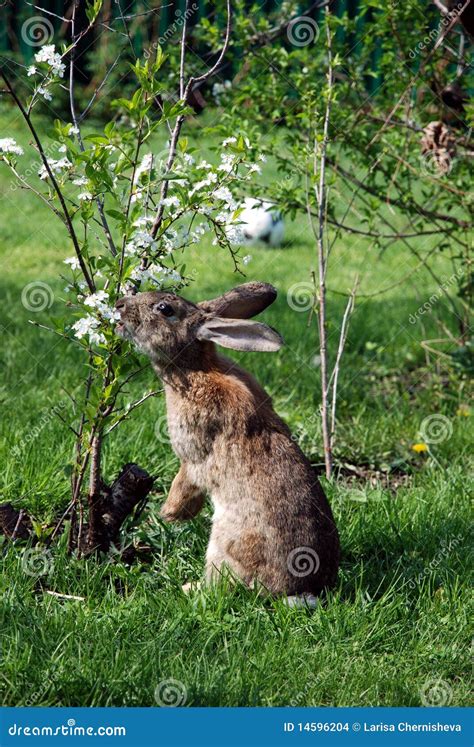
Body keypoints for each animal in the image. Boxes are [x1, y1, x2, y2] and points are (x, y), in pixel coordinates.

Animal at [116, 284, 342, 604]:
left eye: (164, 309)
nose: (119, 304)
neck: (197, 368)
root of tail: (300, 593)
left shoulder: (193, 457)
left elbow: (185, 483)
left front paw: (169, 514)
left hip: (223, 542)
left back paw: (188, 588)